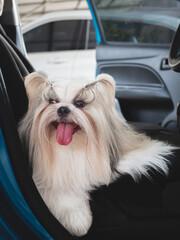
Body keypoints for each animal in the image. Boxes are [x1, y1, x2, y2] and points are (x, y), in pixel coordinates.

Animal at [19, 71, 175, 236]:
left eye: (80, 103)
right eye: (52, 101)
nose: (62, 109)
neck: (72, 147)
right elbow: (63, 194)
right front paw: (77, 221)